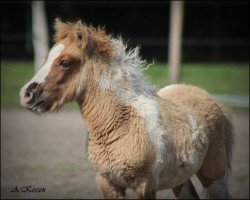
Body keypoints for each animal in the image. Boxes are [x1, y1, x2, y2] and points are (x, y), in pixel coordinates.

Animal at [20, 18, 234, 198]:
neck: (121, 124)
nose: (26, 94)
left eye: (65, 62)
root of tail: (208, 97)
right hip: (180, 179)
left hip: (214, 176)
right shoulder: (107, 181)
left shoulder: (144, 184)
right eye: (46, 59)